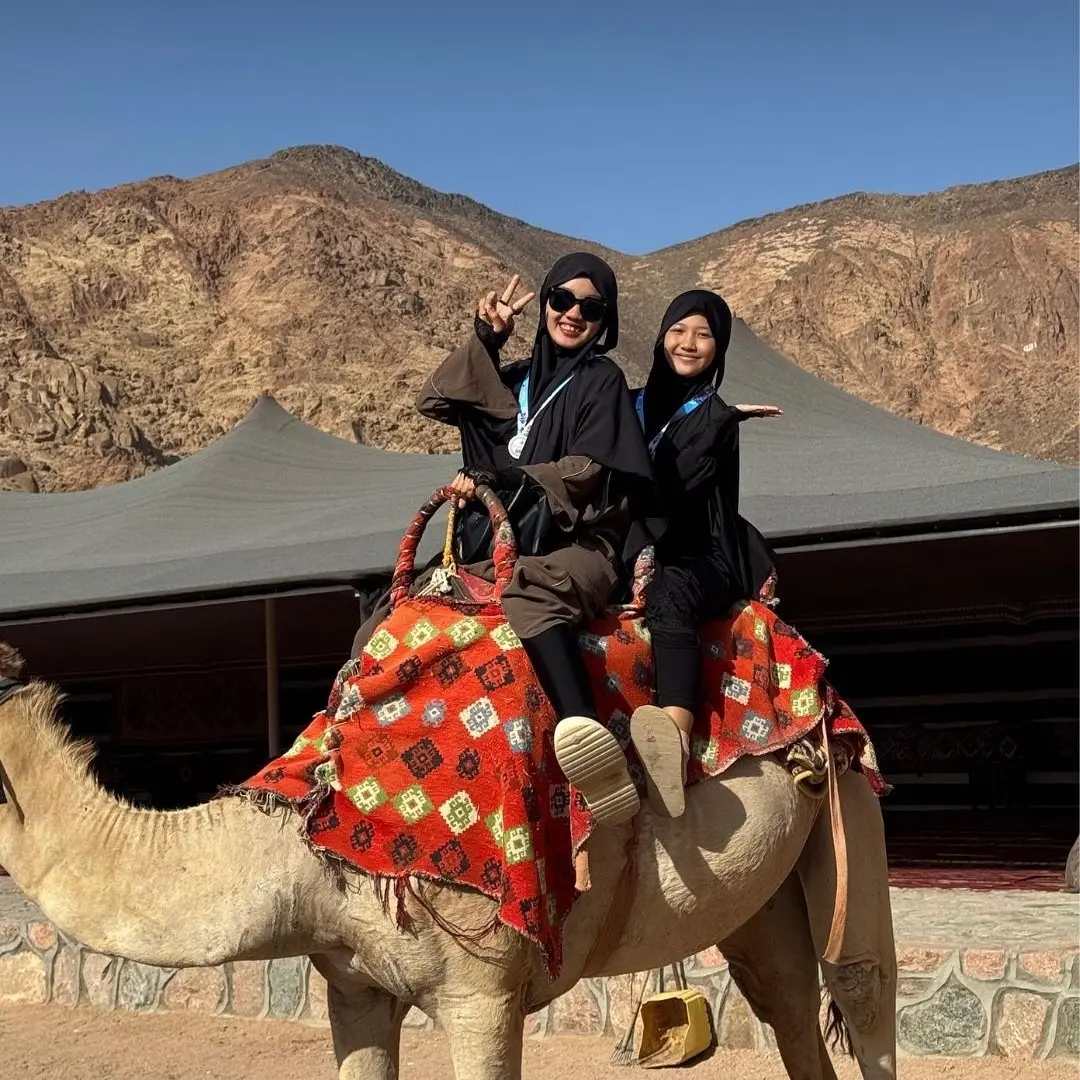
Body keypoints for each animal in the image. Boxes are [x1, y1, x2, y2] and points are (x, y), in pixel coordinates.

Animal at [0, 642, 895, 1080]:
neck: (308, 843)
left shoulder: (482, 990)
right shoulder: (355, 983)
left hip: (848, 786)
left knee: (859, 985)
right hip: (760, 892)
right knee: (783, 999)